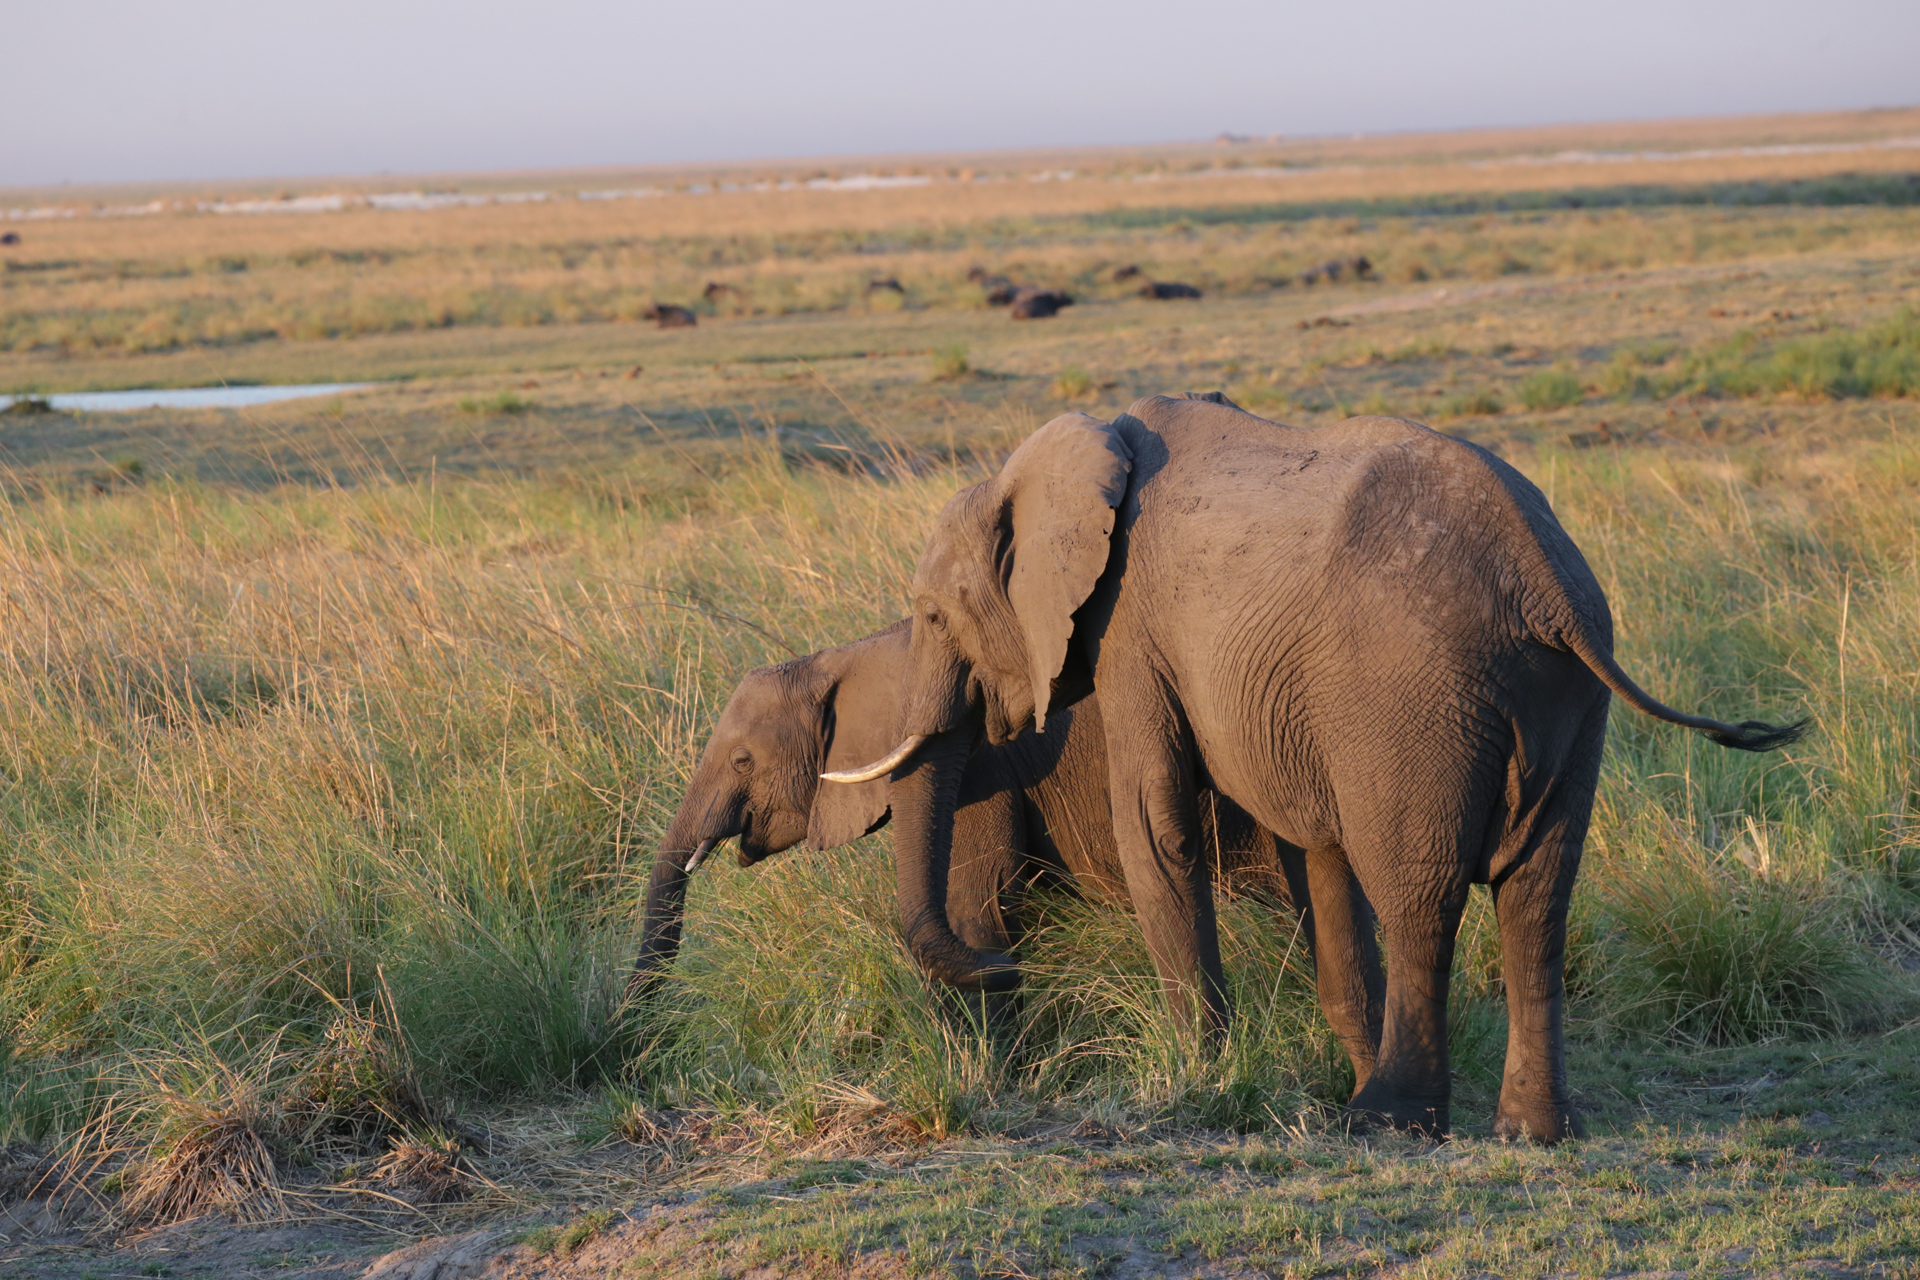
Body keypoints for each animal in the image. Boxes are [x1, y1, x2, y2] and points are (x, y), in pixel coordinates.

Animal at [825, 393, 1797, 1143]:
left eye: (933, 616)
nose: (1007, 965)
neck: (1054, 465)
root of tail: (1543, 579)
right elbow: (1315, 853)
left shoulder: (1130, 628)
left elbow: (1155, 825)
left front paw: (1202, 1077)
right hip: (1558, 703)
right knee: (1538, 894)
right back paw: (1528, 1131)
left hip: (1409, 692)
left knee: (1419, 894)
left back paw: (1388, 1120)